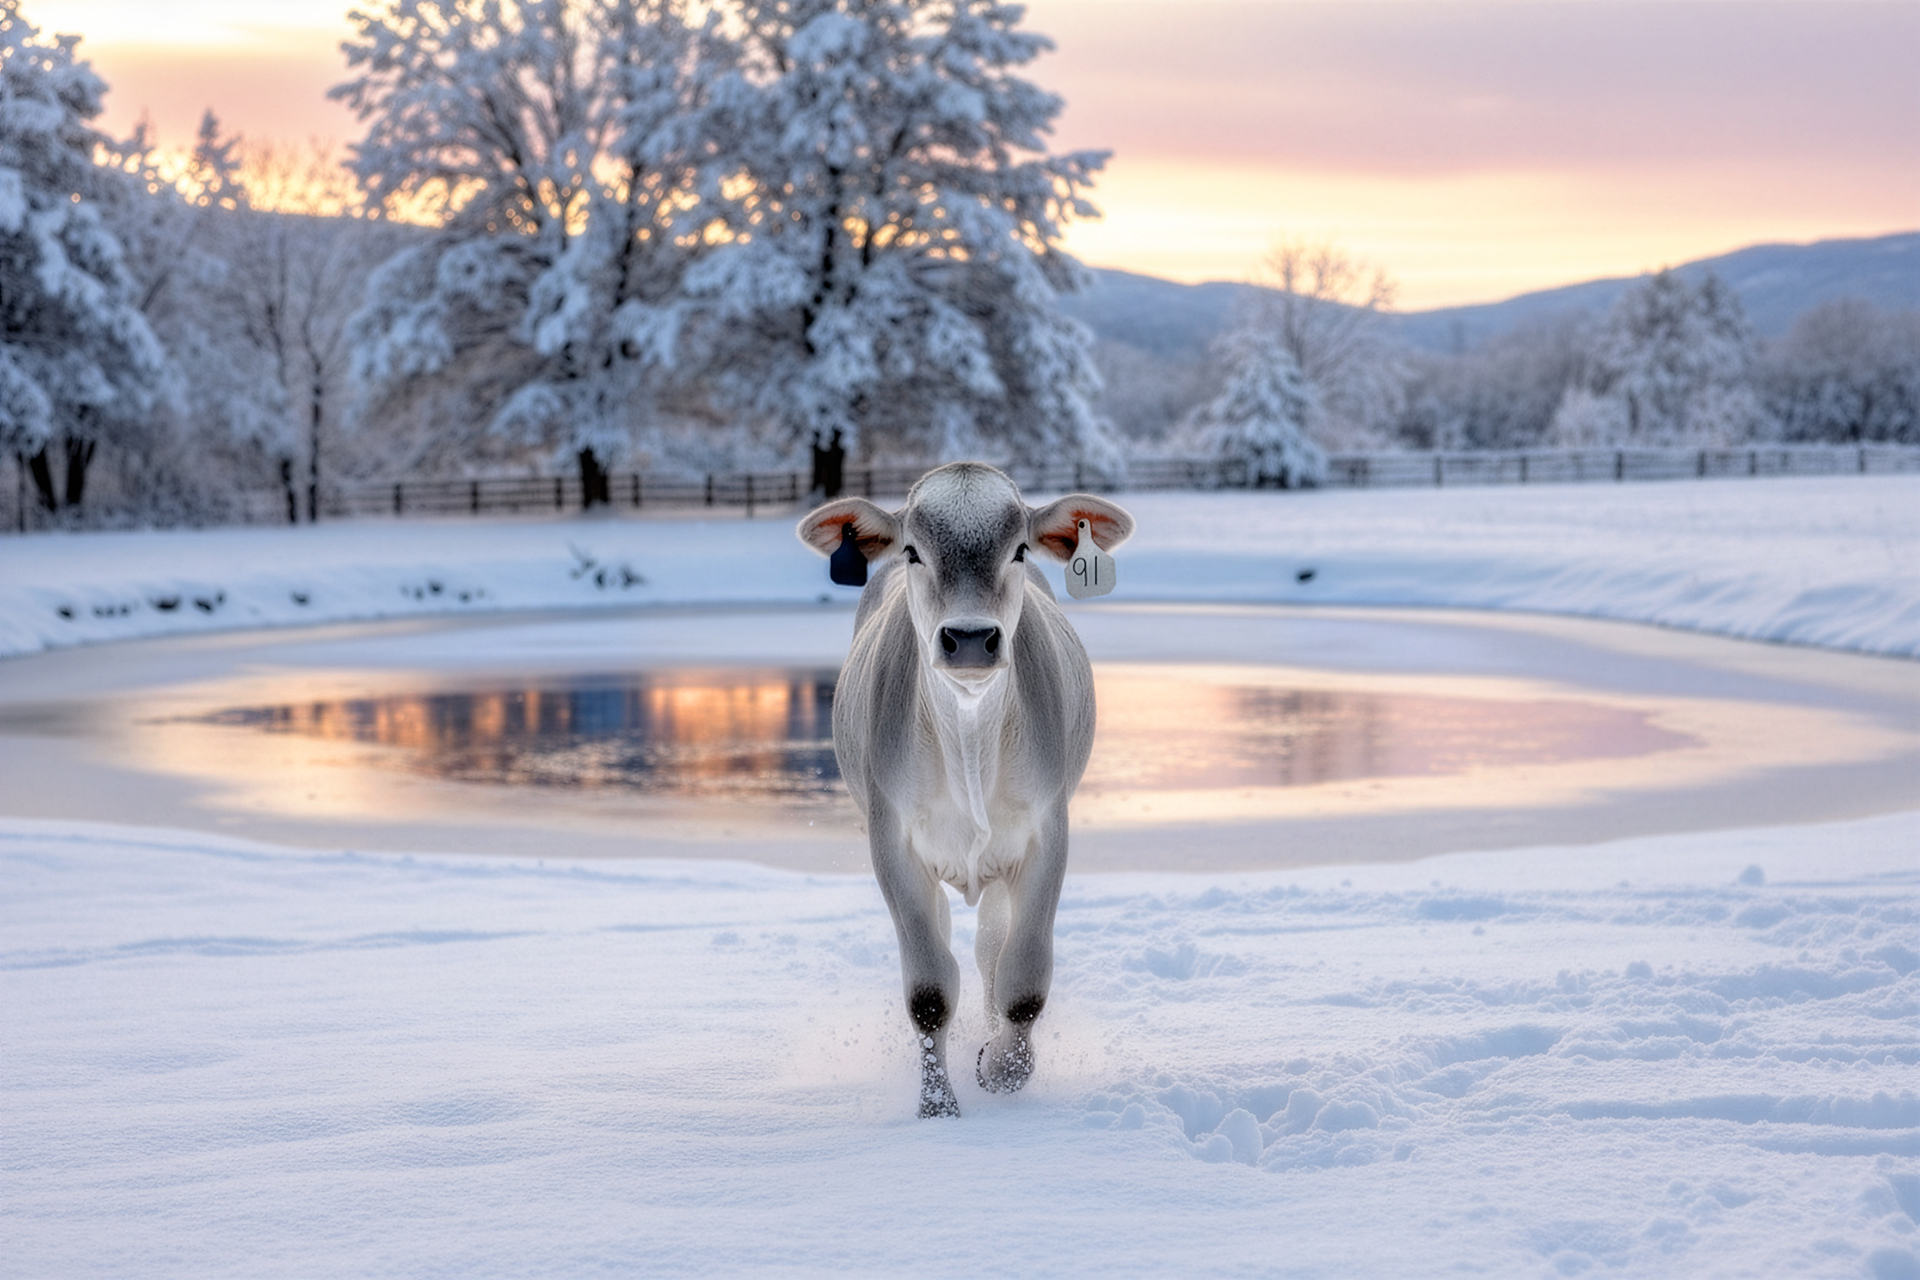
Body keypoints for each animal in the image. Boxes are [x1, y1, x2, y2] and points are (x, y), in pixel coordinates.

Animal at [797, 463, 1135, 1117]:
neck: (969, 739)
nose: (972, 637)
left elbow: (1023, 979)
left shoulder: (1046, 835)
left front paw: (1001, 1068)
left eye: (1020, 550)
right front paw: (938, 1109)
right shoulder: (893, 843)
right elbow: (929, 990)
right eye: (912, 551)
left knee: (990, 952)